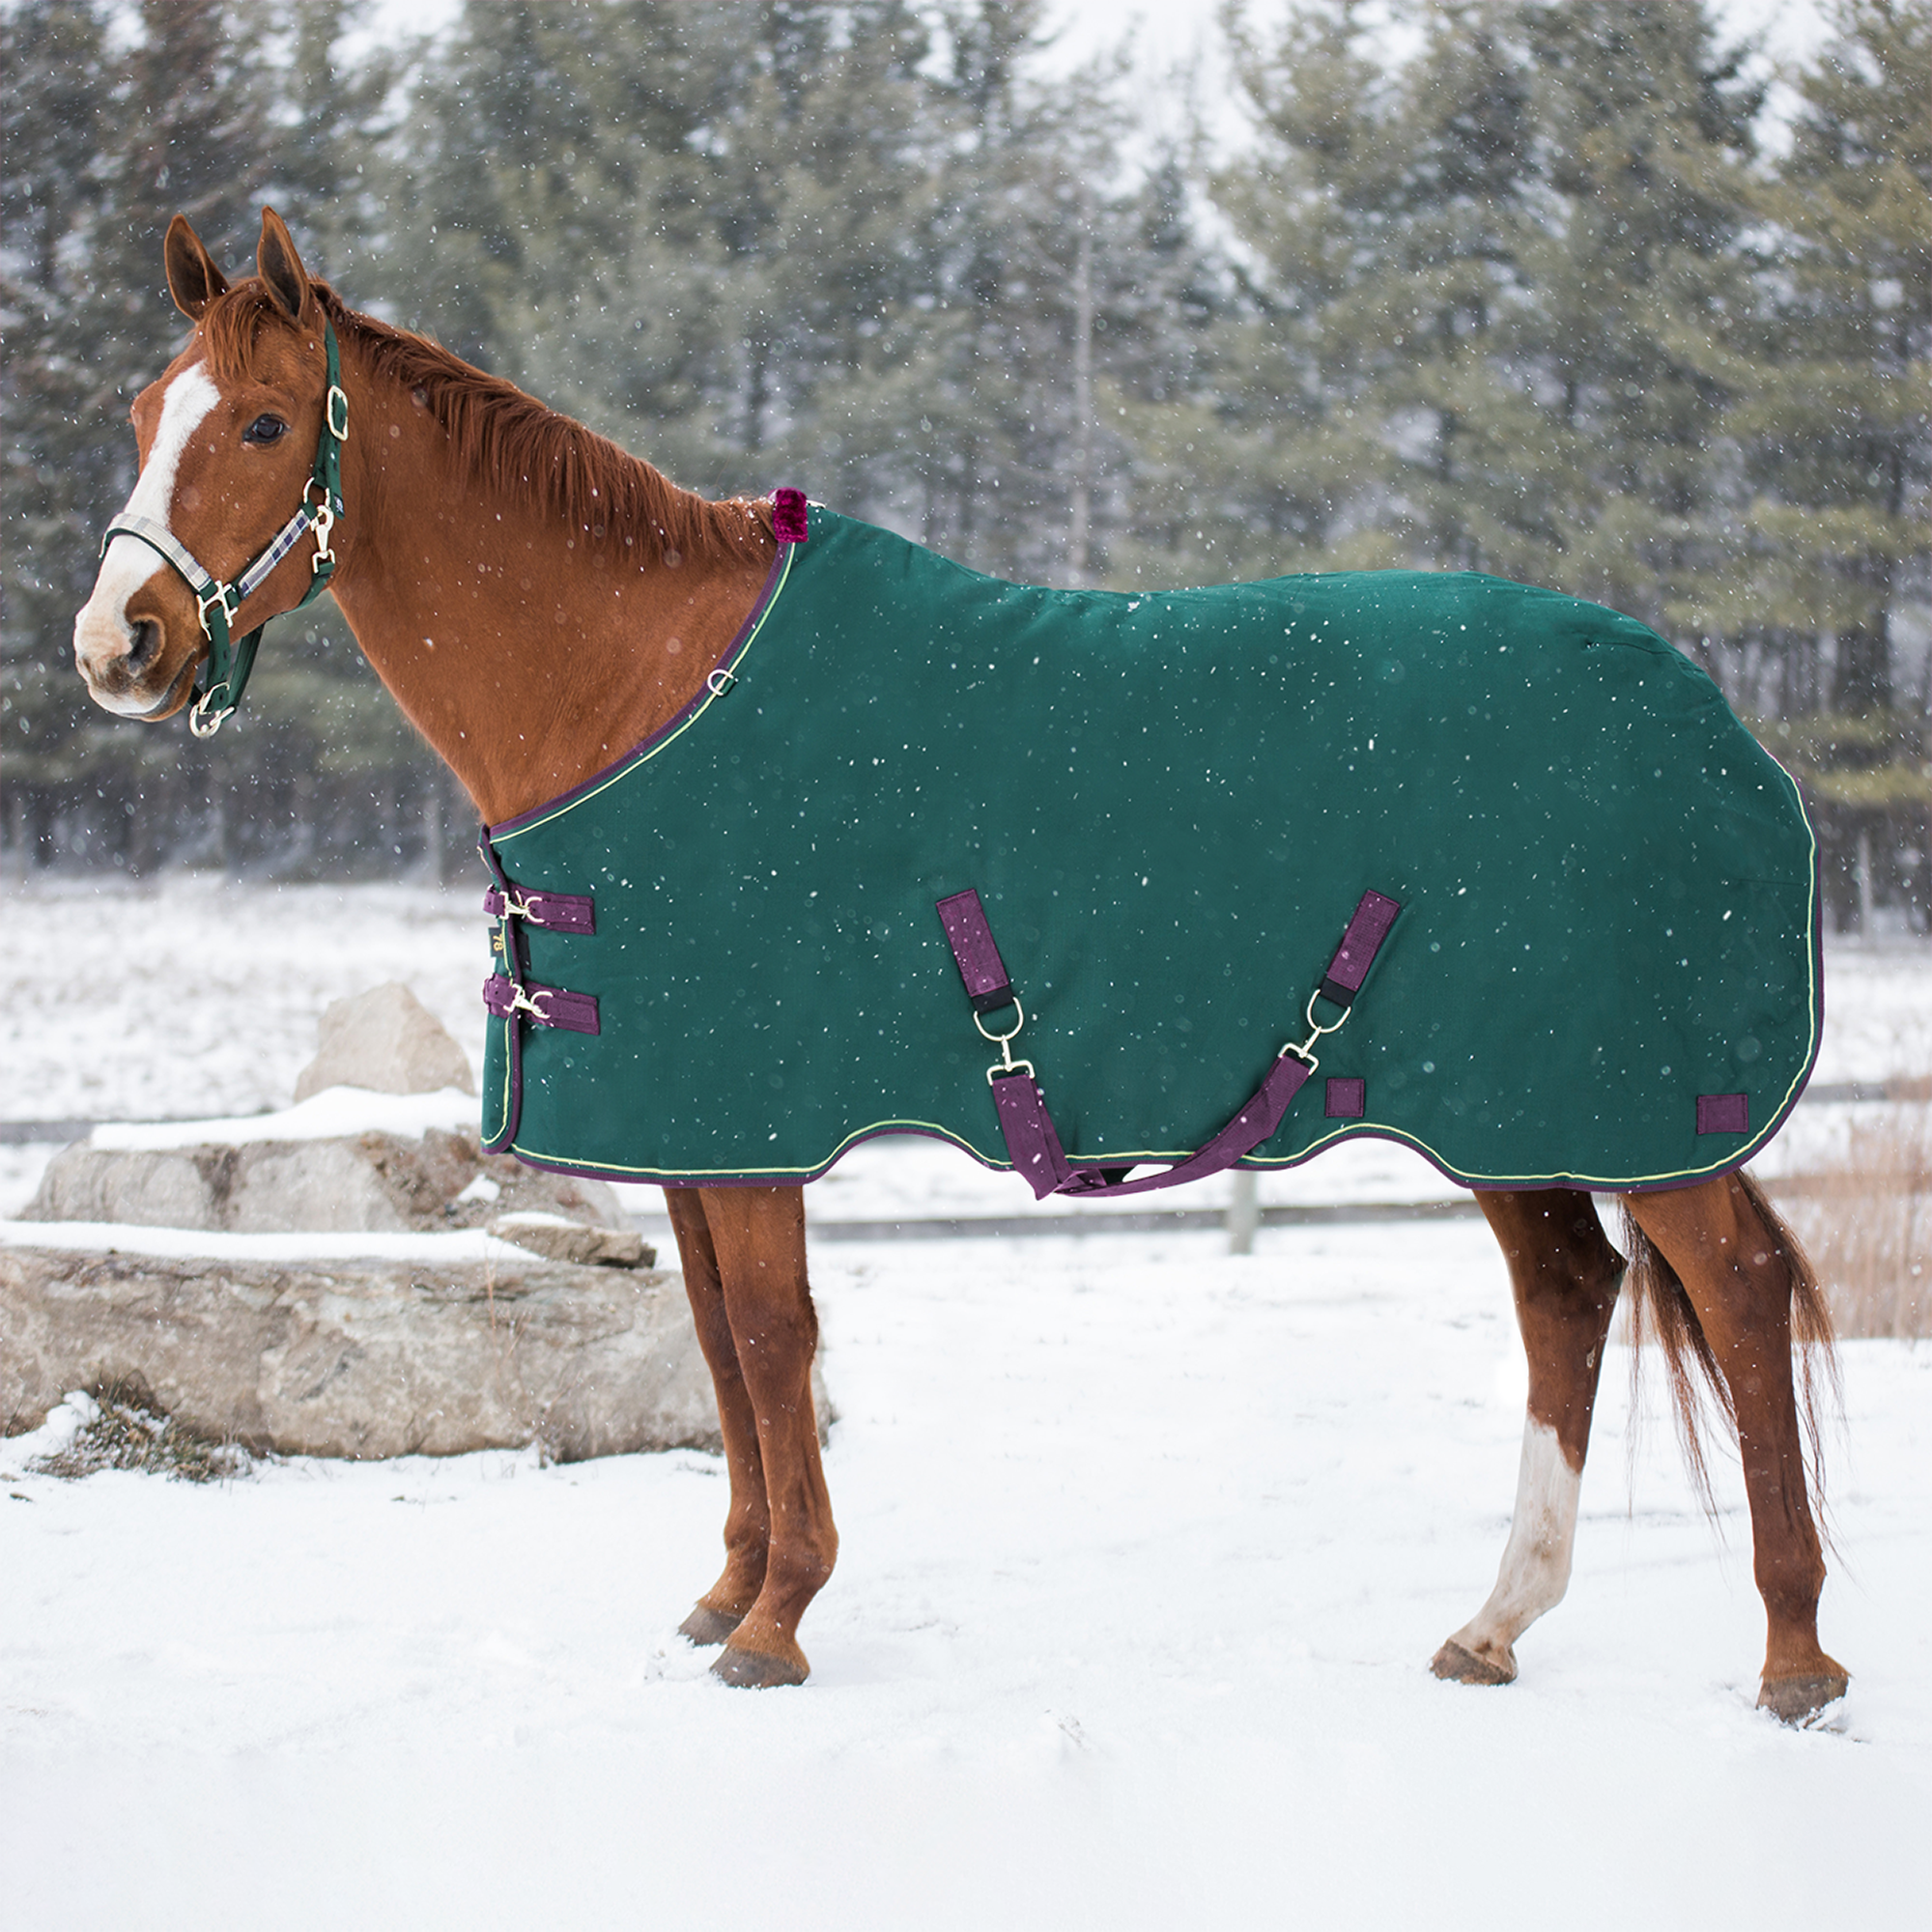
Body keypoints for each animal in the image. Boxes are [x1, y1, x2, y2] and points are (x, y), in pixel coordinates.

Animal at [71, 209, 1847, 1720]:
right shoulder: (693, 1134)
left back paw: (1795, 1657)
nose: (115, 647)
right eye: (147, 405)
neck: (643, 692)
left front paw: (779, 1622)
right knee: (1572, 1298)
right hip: (1512, 1115)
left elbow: (772, 1344)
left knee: (1737, 1298)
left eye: (262, 425)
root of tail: (1712, 722)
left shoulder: (757, 1129)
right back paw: (1498, 1622)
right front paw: (725, 1595)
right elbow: (718, 1349)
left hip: (1629, 1109)